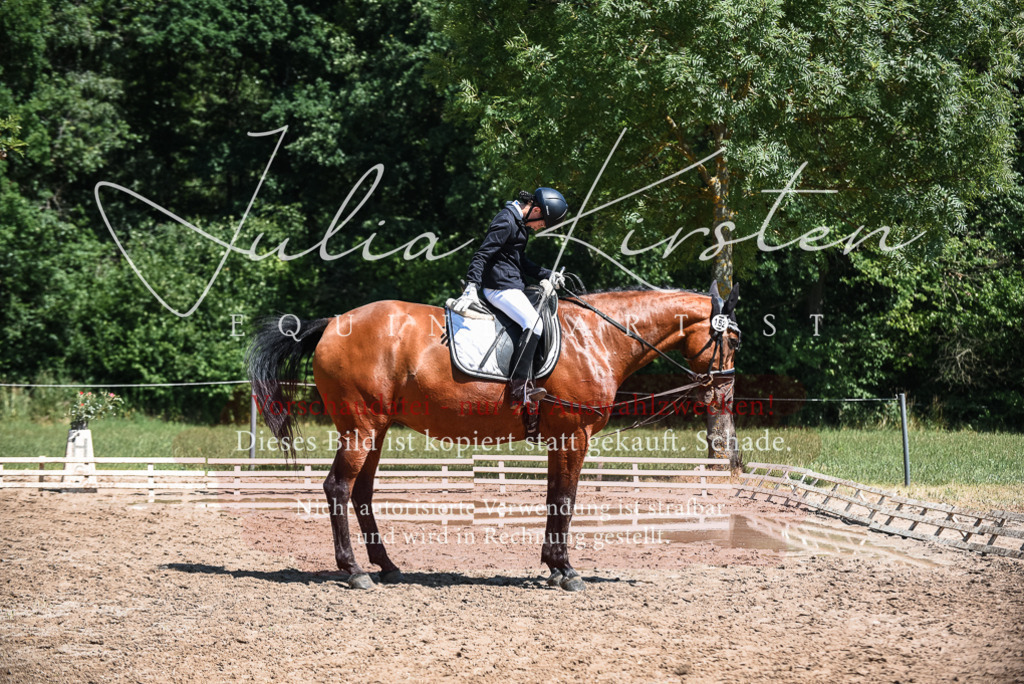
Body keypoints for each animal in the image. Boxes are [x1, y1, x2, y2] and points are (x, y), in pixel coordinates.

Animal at [246, 283, 741, 591]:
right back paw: (353, 571)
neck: (597, 337)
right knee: (338, 487)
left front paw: (553, 566)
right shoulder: (574, 435)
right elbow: (567, 500)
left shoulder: (559, 439)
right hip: (361, 427)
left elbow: (554, 498)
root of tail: (333, 323)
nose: (724, 392)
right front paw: (567, 571)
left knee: (361, 492)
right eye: (732, 340)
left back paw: (386, 566)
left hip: (375, 429)